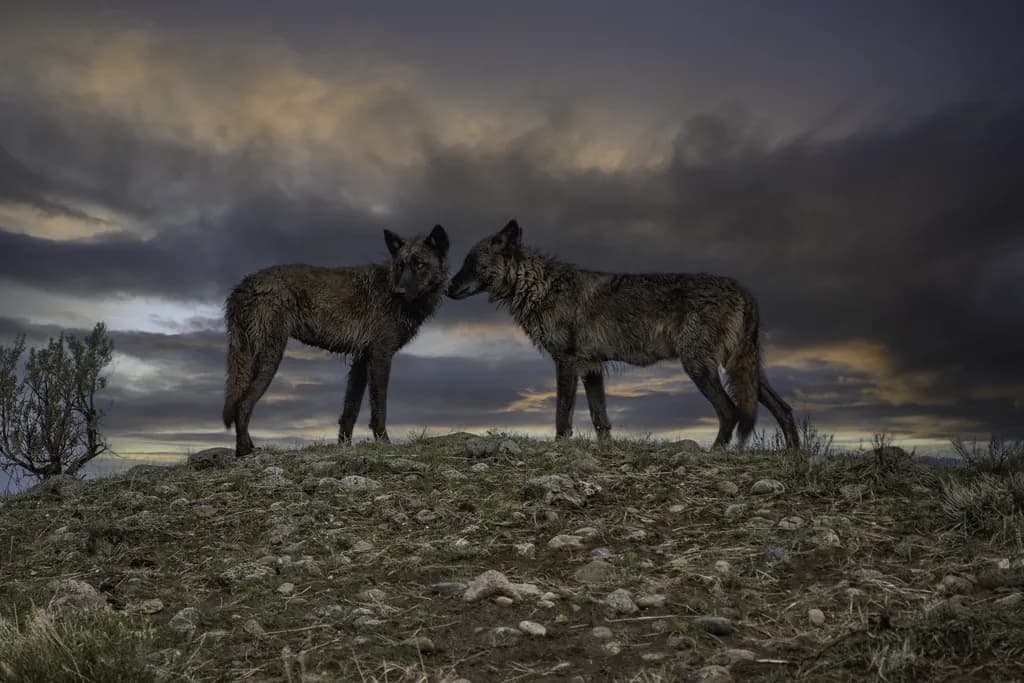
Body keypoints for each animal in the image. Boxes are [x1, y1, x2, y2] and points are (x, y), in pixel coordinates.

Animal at [223, 225, 450, 455]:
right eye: (401, 265)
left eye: (420, 264)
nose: (399, 292)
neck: (390, 286)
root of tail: (243, 286)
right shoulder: (380, 356)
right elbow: (379, 407)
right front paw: (384, 443)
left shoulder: (362, 360)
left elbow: (350, 409)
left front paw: (344, 445)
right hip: (270, 358)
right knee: (243, 404)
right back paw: (243, 450)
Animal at [448, 220, 799, 449]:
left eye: (470, 262)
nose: (448, 288)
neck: (539, 286)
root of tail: (745, 291)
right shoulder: (591, 368)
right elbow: (599, 417)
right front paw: (606, 450)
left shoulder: (567, 364)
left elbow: (562, 414)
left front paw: (560, 447)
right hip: (743, 372)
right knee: (783, 408)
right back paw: (794, 456)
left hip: (699, 368)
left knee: (730, 412)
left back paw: (715, 453)